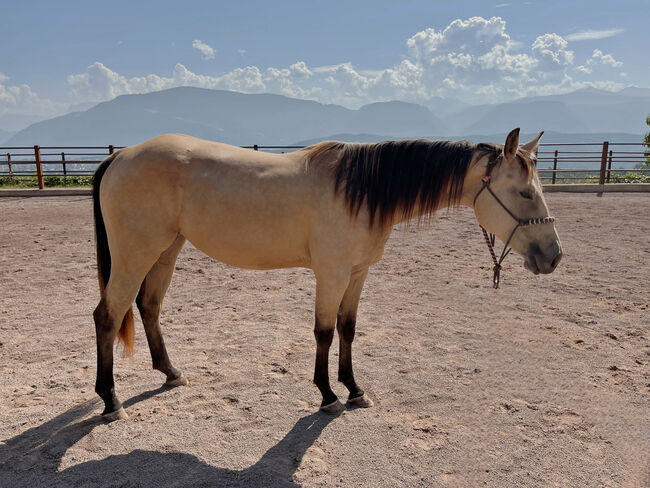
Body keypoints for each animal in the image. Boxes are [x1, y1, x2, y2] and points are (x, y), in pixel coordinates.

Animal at [92, 129, 560, 420]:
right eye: (524, 192)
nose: (553, 256)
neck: (363, 189)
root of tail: (120, 155)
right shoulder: (331, 274)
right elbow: (323, 331)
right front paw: (328, 395)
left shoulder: (357, 273)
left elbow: (348, 328)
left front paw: (354, 389)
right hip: (136, 255)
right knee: (108, 316)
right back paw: (111, 401)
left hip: (166, 250)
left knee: (149, 306)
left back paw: (170, 373)